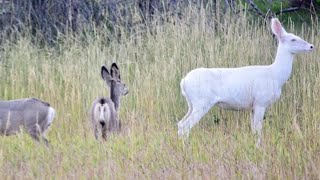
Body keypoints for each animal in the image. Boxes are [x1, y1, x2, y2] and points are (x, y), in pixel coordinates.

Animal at [178, 17, 316, 143]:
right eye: (293, 39)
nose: (311, 46)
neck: (275, 76)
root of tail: (184, 81)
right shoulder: (260, 102)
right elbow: (258, 130)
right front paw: (259, 147)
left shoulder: (252, 106)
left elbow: (254, 130)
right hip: (202, 102)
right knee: (185, 126)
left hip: (192, 104)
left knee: (180, 124)